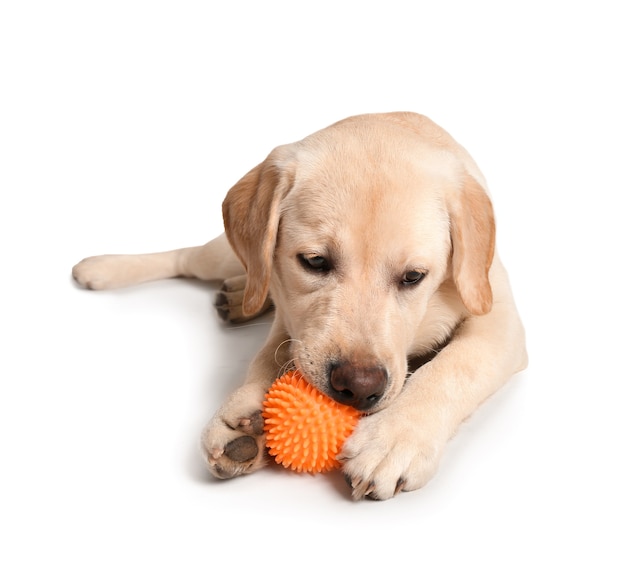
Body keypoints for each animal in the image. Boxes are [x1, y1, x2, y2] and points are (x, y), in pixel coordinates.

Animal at [73, 112, 528, 500]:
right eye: (314, 262)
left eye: (414, 277)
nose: (357, 387)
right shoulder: (291, 312)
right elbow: (269, 353)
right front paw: (243, 413)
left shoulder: (495, 312)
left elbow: (456, 366)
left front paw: (393, 438)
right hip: (221, 256)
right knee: (189, 258)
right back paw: (102, 268)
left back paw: (236, 297)